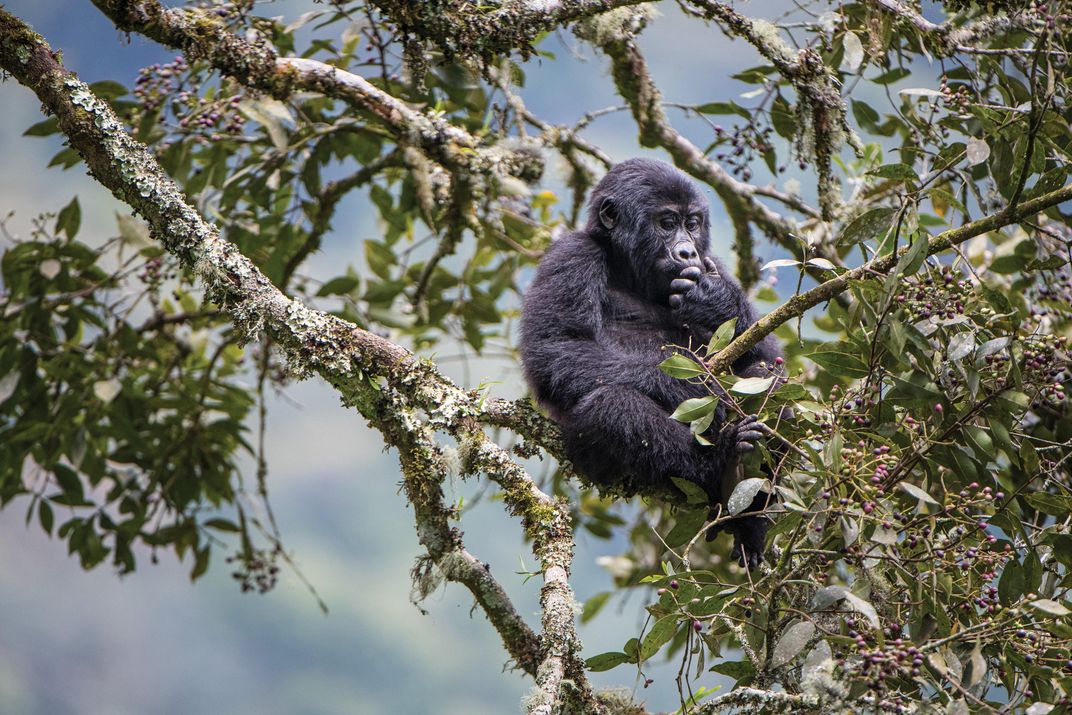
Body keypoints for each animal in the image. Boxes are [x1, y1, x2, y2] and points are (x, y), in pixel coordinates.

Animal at [520, 157, 784, 570]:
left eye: (692, 223)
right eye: (667, 222)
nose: (687, 252)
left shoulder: (713, 263)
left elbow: (763, 352)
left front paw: (716, 301)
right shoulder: (572, 254)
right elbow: (557, 347)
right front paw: (688, 388)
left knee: (767, 380)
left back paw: (751, 516)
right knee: (612, 408)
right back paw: (723, 462)